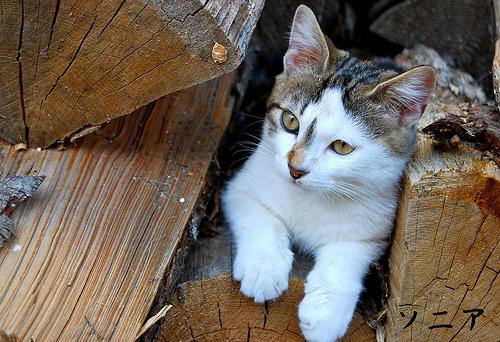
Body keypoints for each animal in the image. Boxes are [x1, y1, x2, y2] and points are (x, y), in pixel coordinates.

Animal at [222, 5, 434, 342]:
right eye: (290, 121)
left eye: (341, 147)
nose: (295, 168)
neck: (313, 197)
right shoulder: (241, 185)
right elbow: (260, 216)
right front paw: (263, 267)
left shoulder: (374, 226)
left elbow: (346, 254)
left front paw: (325, 312)